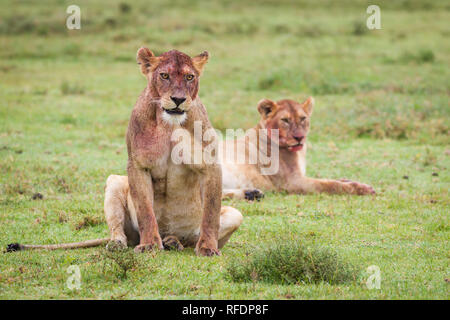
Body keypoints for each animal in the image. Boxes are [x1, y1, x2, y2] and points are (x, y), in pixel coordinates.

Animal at [220, 97, 374, 200]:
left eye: (303, 118)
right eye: (285, 120)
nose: (299, 137)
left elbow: (333, 179)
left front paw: (354, 181)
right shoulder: (292, 182)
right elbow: (329, 185)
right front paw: (363, 189)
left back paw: (251, 193)